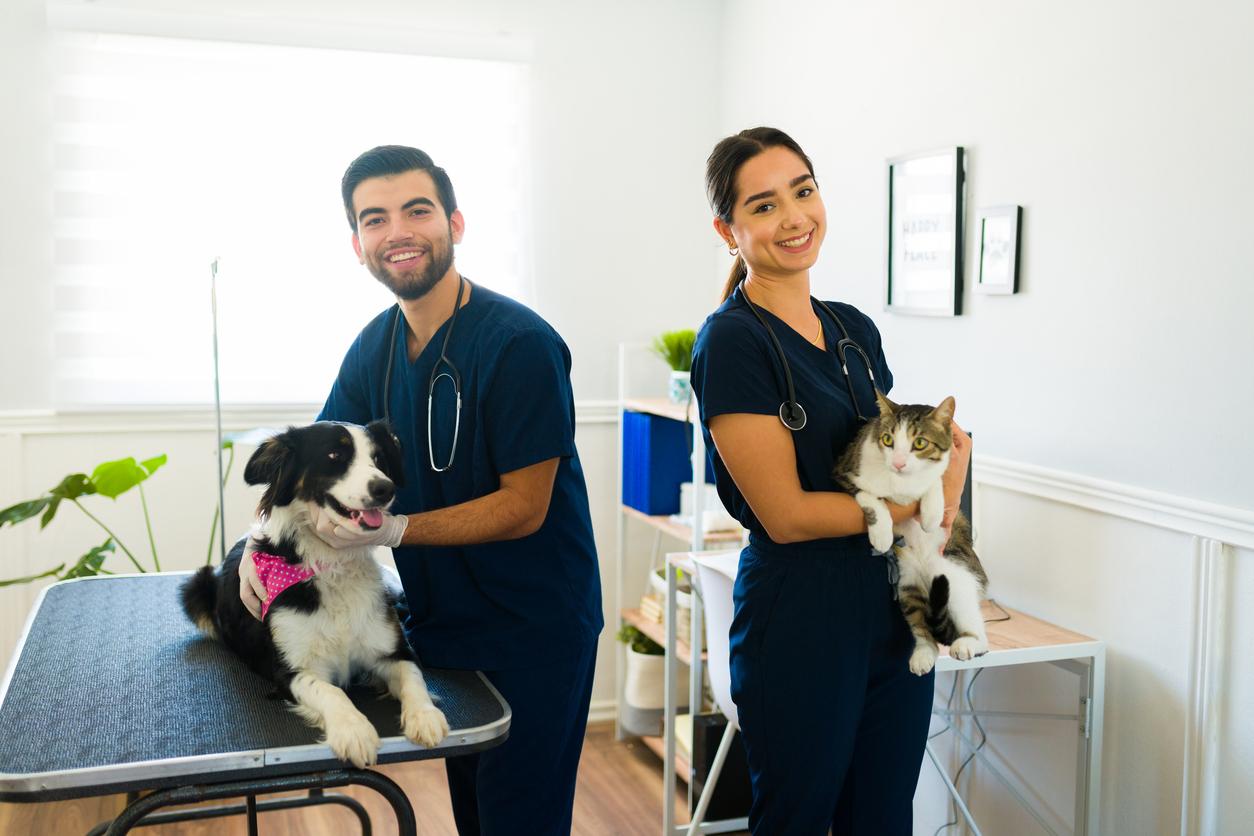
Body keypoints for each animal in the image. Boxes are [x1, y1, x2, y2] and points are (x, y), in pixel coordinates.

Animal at [179, 421, 448, 767]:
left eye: (378, 458)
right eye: (334, 454)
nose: (385, 488)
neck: (331, 566)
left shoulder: (394, 650)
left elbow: (414, 676)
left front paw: (424, 716)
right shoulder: (290, 670)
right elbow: (331, 692)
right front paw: (354, 730)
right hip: (197, 587)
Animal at [832, 396, 988, 676]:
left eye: (920, 443)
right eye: (887, 440)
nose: (898, 463)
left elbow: (936, 481)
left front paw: (932, 513)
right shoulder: (843, 471)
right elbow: (868, 495)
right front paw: (882, 532)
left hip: (955, 576)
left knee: (978, 632)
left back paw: (968, 643)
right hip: (906, 583)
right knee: (923, 627)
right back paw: (923, 653)